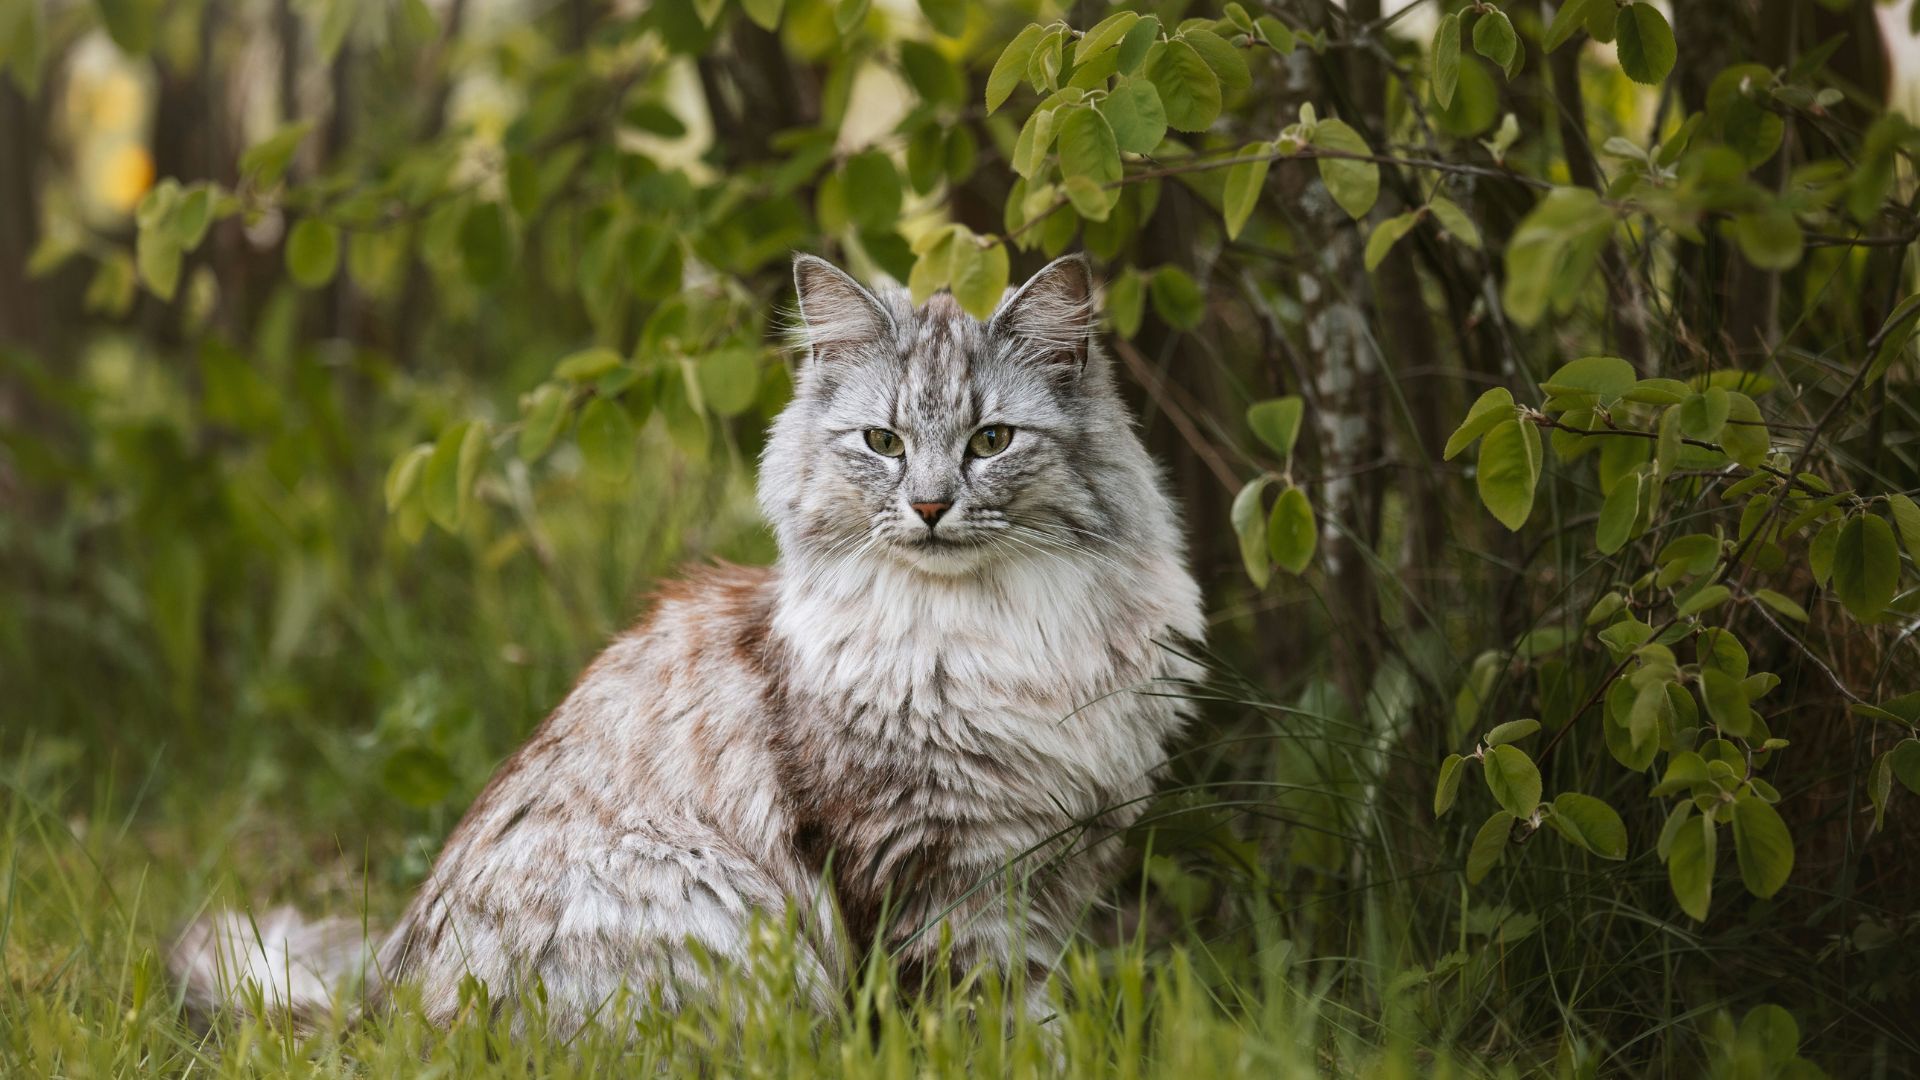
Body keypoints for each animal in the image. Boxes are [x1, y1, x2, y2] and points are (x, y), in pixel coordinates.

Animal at [172, 249, 1205, 1022]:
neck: (988, 634)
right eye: (882, 442)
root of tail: (379, 1016)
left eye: (991, 441)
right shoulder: (924, 866)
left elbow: (1035, 1003)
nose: (929, 506)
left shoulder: (1061, 857)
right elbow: (978, 1010)